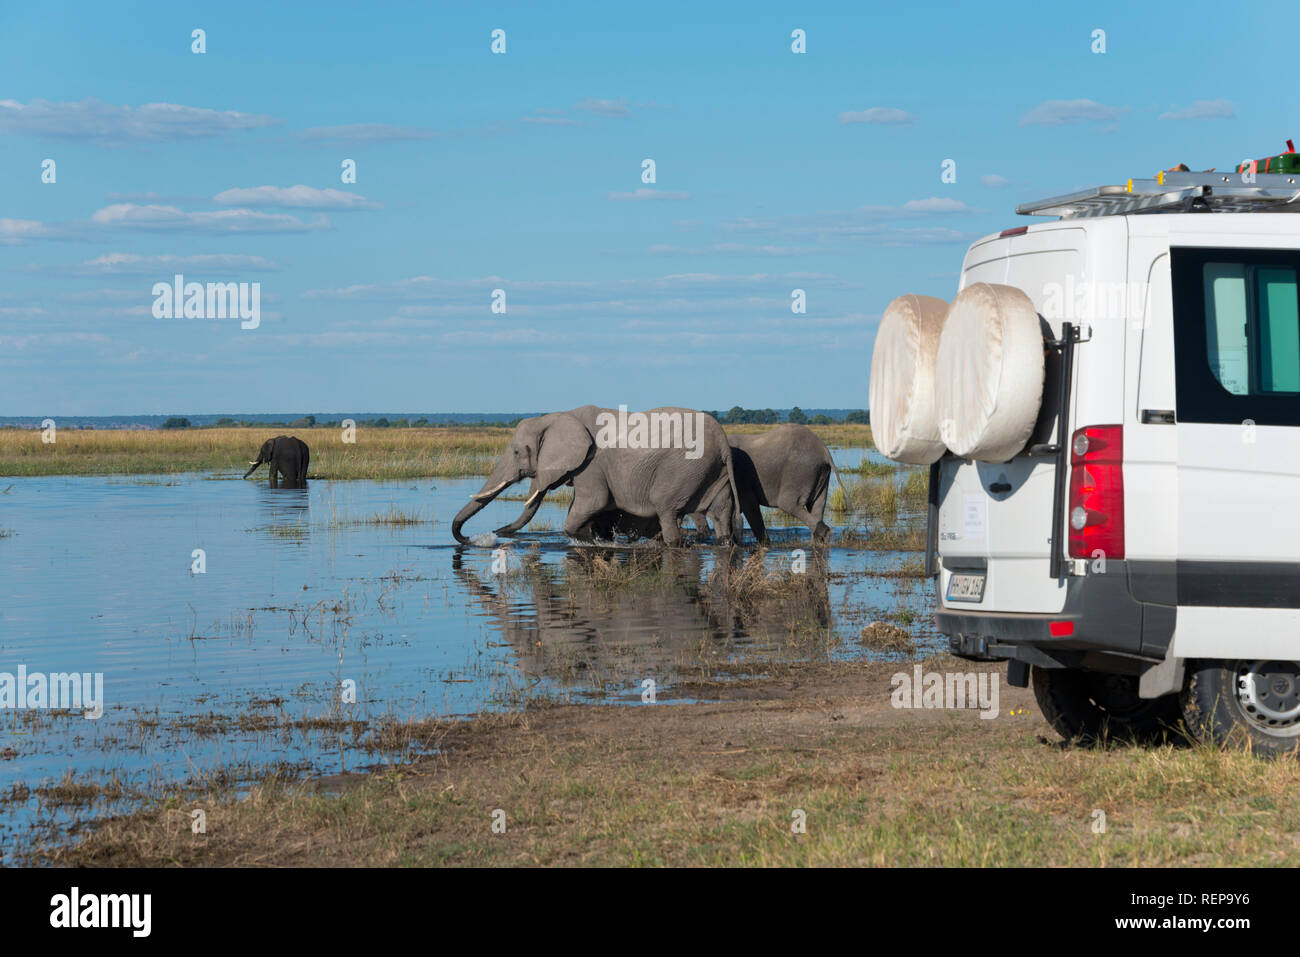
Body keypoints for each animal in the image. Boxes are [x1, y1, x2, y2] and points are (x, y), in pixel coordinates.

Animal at [451, 405, 740, 547]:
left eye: (516, 451)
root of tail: (722, 440)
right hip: (712, 470)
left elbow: (591, 504)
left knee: (667, 510)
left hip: (683, 468)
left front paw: (593, 541)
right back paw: (724, 542)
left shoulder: (591, 464)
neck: (558, 417)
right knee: (721, 512)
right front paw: (600, 539)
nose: (490, 535)